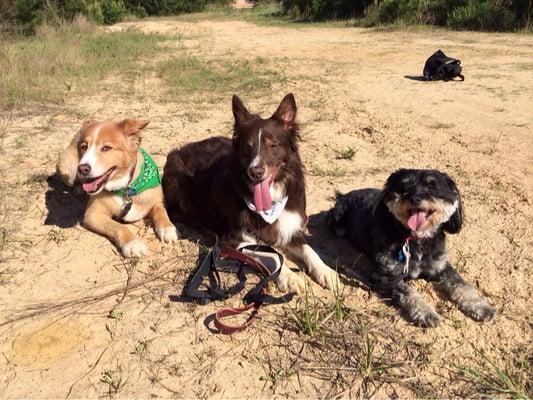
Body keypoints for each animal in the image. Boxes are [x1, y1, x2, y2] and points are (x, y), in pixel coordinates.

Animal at [56, 118, 178, 256]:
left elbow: (160, 212)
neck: (125, 188)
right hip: (66, 170)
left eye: (106, 148)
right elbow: (118, 226)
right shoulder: (92, 215)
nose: (82, 169)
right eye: (83, 147)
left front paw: (167, 228)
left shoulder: (157, 200)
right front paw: (132, 243)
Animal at [161, 94, 340, 294]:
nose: (255, 172)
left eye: (273, 145)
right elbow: (273, 256)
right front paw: (290, 277)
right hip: (178, 187)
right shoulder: (234, 238)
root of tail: (179, 150)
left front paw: (326, 271)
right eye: (248, 147)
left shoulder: (288, 225)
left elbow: (309, 250)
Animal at [328, 169, 494, 328]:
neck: (416, 239)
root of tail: (344, 195)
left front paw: (480, 306)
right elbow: (408, 291)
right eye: (404, 187)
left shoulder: (440, 266)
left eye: (431, 186)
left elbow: (461, 284)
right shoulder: (385, 275)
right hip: (339, 223)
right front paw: (426, 312)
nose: (415, 199)